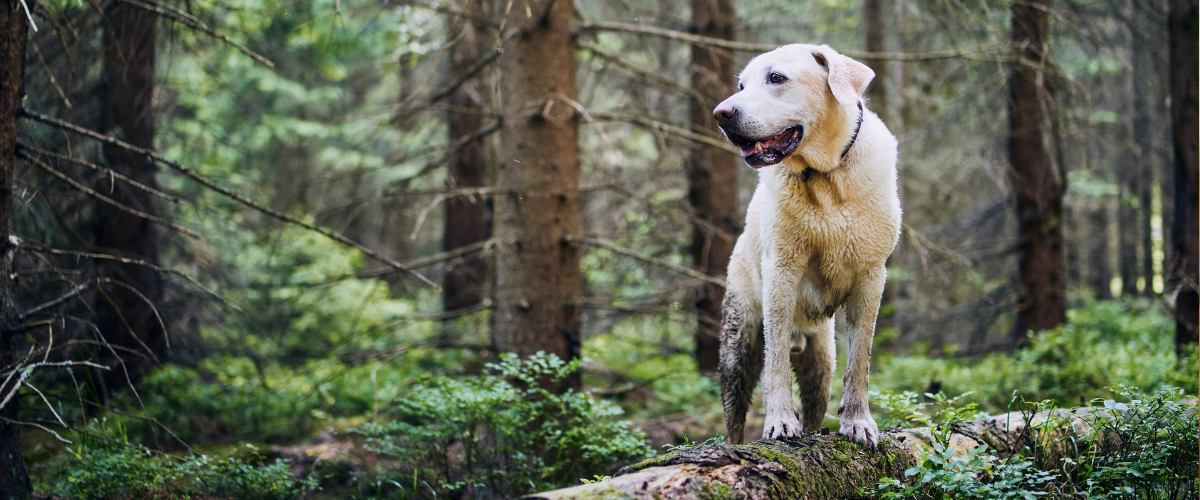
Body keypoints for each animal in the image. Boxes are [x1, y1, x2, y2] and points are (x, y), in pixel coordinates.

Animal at [710, 44, 902, 446]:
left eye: (776, 78)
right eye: (741, 85)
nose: (721, 113)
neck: (827, 178)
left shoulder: (871, 277)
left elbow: (860, 359)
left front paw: (858, 421)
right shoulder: (781, 272)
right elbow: (776, 361)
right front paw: (780, 421)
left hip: (821, 360)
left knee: (817, 400)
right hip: (739, 341)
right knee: (734, 415)